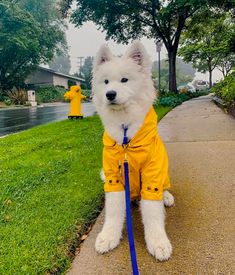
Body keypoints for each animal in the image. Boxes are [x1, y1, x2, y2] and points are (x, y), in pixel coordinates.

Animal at [92, 42, 174, 262]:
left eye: (124, 79)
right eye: (105, 82)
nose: (110, 94)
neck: (125, 135)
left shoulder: (152, 175)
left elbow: (153, 212)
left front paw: (158, 243)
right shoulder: (114, 177)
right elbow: (113, 210)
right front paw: (108, 237)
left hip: (163, 173)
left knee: (164, 188)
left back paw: (166, 197)